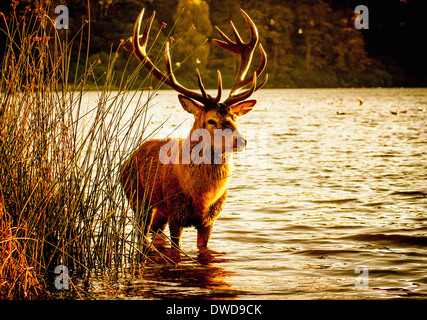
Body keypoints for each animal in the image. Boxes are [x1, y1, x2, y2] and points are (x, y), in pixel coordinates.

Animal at [120, 6, 268, 248]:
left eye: (234, 118)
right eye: (211, 120)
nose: (241, 140)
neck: (202, 199)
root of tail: (128, 158)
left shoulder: (210, 220)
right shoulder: (176, 213)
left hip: (158, 213)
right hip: (139, 199)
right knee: (141, 231)